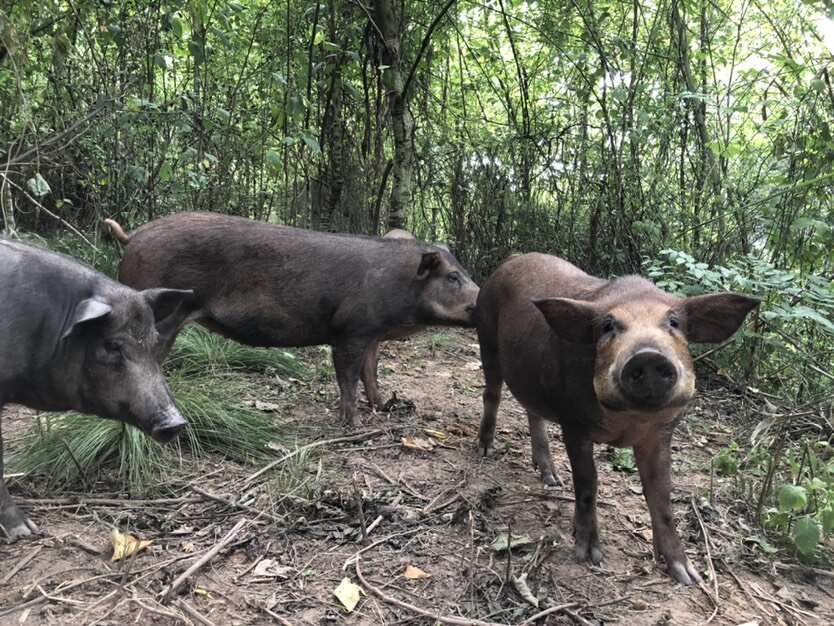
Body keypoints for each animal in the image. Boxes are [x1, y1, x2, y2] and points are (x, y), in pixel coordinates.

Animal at [105, 212, 474, 426]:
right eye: (453, 277)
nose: (480, 300)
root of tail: (134, 236)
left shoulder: (371, 334)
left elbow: (371, 372)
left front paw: (382, 407)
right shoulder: (349, 331)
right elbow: (348, 378)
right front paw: (351, 425)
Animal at [474, 251, 752, 584]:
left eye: (674, 322)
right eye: (608, 326)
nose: (648, 355)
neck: (629, 421)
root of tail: (508, 262)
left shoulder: (661, 433)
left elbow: (662, 495)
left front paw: (688, 576)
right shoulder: (574, 422)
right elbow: (587, 482)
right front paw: (589, 556)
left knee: (532, 412)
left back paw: (551, 479)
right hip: (486, 337)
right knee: (492, 394)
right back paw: (485, 450)